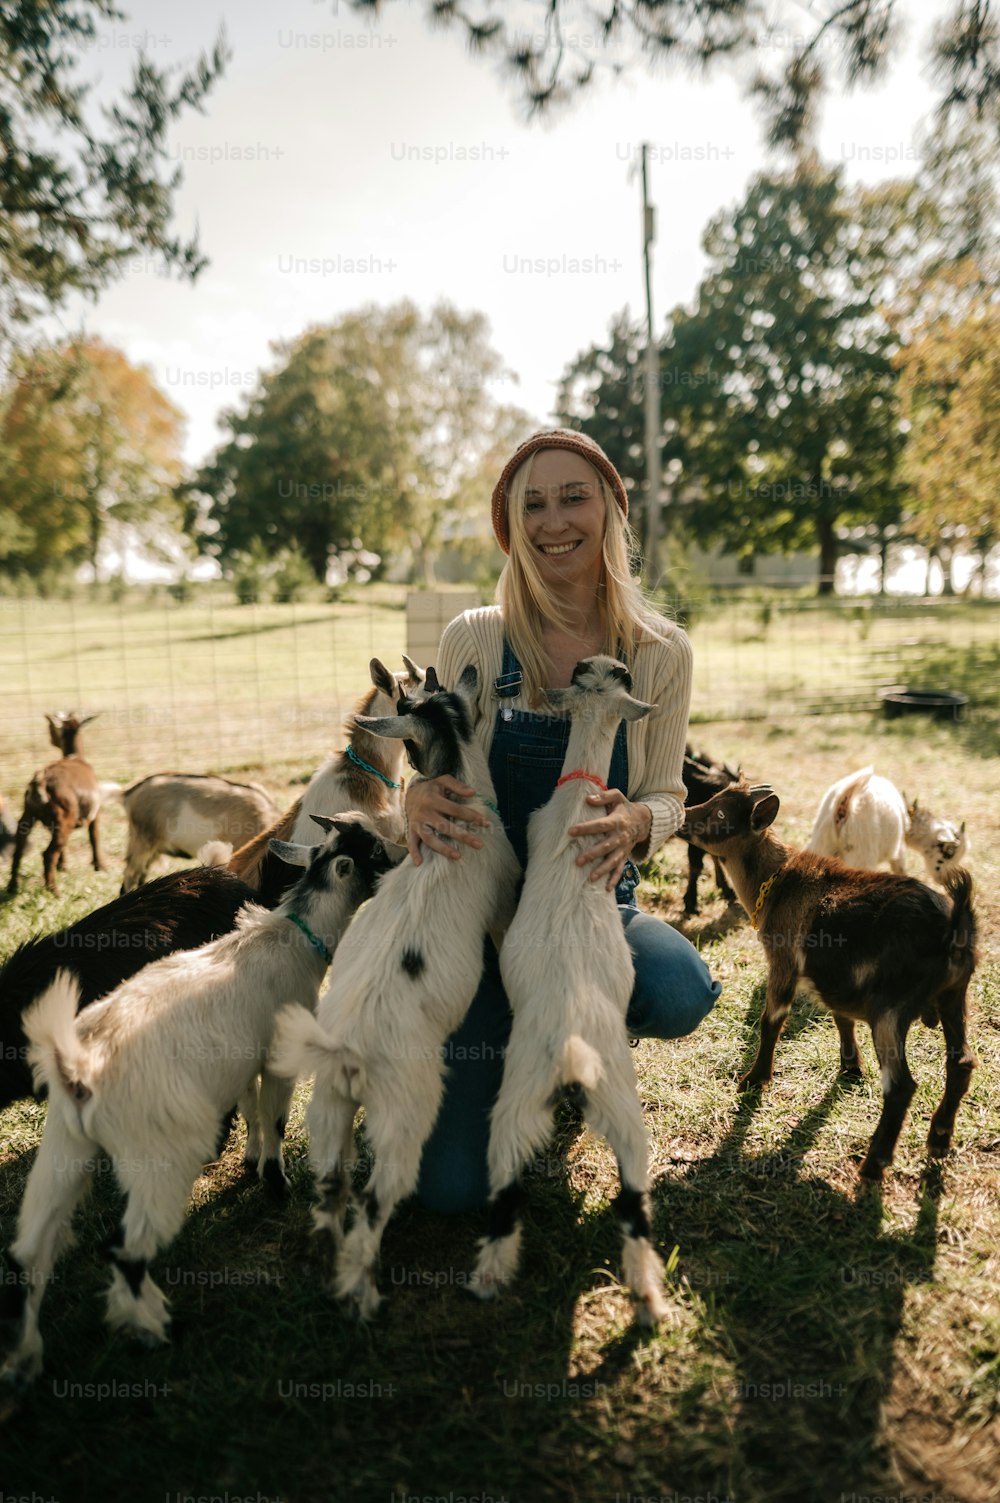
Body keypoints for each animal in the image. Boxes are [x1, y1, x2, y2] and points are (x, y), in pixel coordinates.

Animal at [0, 817, 396, 1376]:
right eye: (377, 852)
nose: (403, 858)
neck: (291, 936)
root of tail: (80, 1067)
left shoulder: (242, 1059)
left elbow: (250, 1108)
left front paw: (251, 1163)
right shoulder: (278, 1054)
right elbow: (275, 1118)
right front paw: (275, 1185)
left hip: (64, 1149)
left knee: (27, 1255)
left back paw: (26, 1357)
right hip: (158, 1158)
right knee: (122, 1249)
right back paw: (155, 1330)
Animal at [6, 712, 104, 895]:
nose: (51, 739)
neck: (76, 758)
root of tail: (41, 782)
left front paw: (62, 866)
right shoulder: (96, 812)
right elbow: (94, 837)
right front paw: (99, 866)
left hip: (29, 814)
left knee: (19, 848)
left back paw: (12, 886)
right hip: (65, 818)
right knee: (48, 854)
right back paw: (54, 890)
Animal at [273, 667, 523, 1316]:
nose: (474, 675)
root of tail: (350, 1051)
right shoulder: (503, 900)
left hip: (328, 1114)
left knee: (332, 1186)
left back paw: (328, 1264)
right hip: (403, 1118)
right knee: (374, 1199)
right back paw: (362, 1293)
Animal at [469, 658, 667, 1328]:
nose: (591, 662)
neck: (581, 789)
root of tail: (574, 1052)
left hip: (525, 1107)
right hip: (598, 1114)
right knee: (629, 1204)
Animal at [679, 781, 974, 1178]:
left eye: (721, 813)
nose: (683, 817)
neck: (780, 882)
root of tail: (953, 925)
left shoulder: (783, 961)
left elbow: (771, 1022)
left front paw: (754, 1080)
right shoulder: (839, 979)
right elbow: (841, 1018)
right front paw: (850, 1067)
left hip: (890, 1011)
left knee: (901, 1086)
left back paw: (874, 1162)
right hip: (954, 995)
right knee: (961, 1064)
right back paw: (940, 1138)